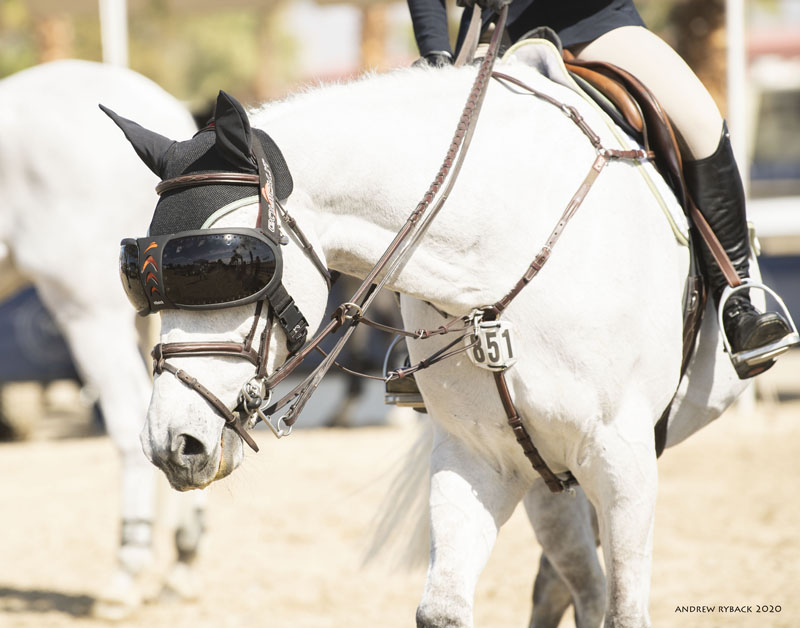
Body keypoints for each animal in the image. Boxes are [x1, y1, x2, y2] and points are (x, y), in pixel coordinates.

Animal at [106, 40, 756, 628]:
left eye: (229, 264)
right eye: (137, 276)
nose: (173, 443)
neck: (499, 264)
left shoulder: (622, 458)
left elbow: (626, 612)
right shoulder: (482, 456)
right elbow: (443, 609)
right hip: (549, 477)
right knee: (570, 585)